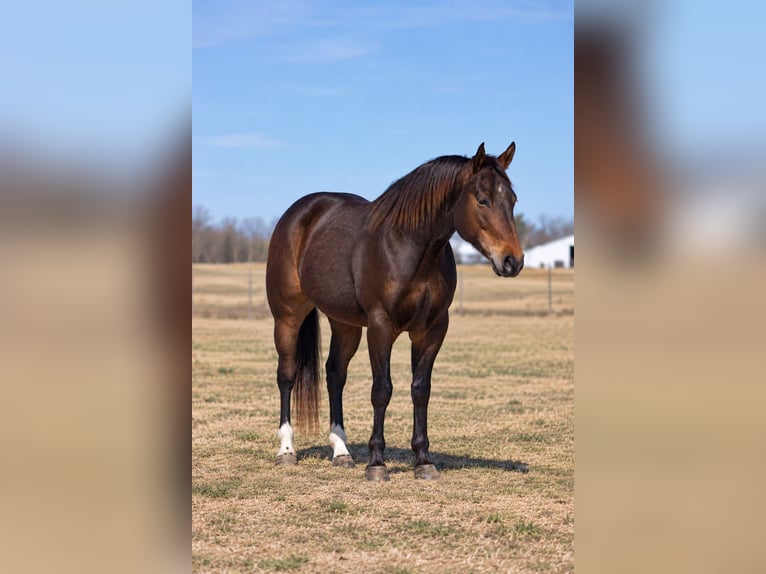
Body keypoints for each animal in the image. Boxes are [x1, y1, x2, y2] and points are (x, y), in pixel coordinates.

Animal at [265, 142, 524, 481]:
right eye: (483, 199)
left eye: (513, 200)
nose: (512, 261)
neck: (410, 249)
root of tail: (300, 213)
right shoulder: (380, 326)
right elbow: (382, 390)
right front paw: (377, 463)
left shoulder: (432, 329)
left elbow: (420, 390)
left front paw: (423, 460)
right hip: (287, 317)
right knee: (287, 375)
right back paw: (286, 450)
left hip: (345, 324)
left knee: (335, 375)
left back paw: (341, 451)